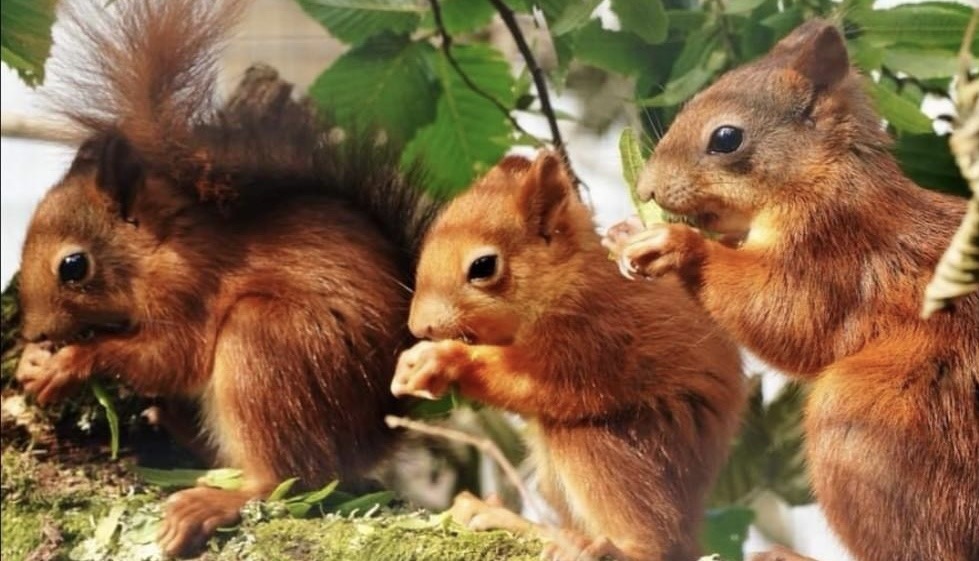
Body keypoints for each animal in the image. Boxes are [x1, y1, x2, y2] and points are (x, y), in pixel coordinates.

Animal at [12, 0, 436, 556]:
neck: (160, 248)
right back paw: (170, 423)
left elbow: (171, 358)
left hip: (266, 343)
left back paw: (209, 503)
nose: (34, 331)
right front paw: (32, 360)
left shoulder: (191, 288)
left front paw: (69, 363)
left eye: (73, 266)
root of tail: (372, 436)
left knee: (288, 477)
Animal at [390, 151, 746, 561]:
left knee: (654, 542)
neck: (568, 277)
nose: (420, 326)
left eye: (483, 266)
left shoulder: (596, 335)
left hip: (621, 444)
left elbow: (544, 382)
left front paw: (447, 360)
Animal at [604, 19, 979, 561]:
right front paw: (625, 231)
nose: (647, 188)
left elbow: (786, 316)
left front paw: (677, 245)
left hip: (875, 426)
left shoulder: (835, 254)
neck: (825, 179)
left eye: (726, 137)